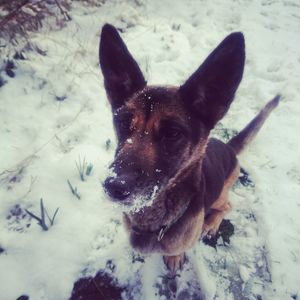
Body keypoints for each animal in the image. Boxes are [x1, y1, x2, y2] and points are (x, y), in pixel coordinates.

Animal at [99, 24, 280, 272]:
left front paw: (175, 257)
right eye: (124, 123)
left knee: (227, 206)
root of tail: (228, 148)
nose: (114, 187)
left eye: (173, 133)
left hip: (221, 194)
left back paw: (211, 224)